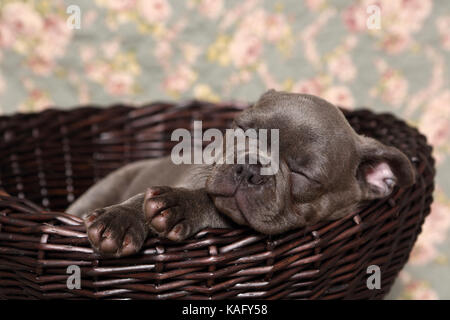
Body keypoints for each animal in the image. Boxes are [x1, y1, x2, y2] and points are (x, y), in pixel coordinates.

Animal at [67, 90, 414, 258]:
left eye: (302, 173)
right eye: (242, 129)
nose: (250, 167)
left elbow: (217, 209)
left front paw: (178, 205)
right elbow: (142, 199)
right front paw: (122, 219)